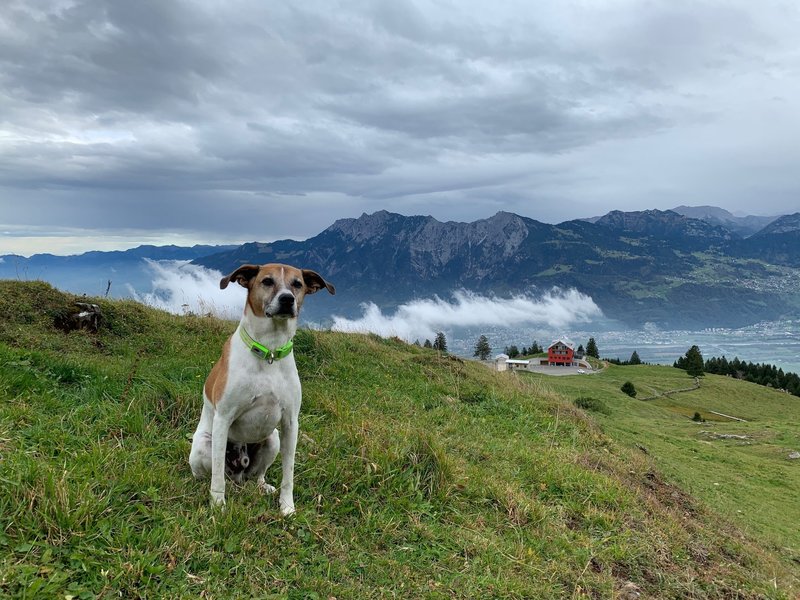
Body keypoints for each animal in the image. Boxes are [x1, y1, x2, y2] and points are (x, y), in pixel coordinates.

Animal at [190, 264, 334, 516]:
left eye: (297, 284)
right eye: (267, 281)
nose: (287, 299)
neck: (270, 351)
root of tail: (238, 474)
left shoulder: (290, 423)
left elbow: (289, 474)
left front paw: (287, 506)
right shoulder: (223, 418)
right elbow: (217, 475)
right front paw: (217, 505)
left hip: (272, 439)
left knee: (257, 475)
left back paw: (262, 486)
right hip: (203, 445)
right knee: (213, 474)